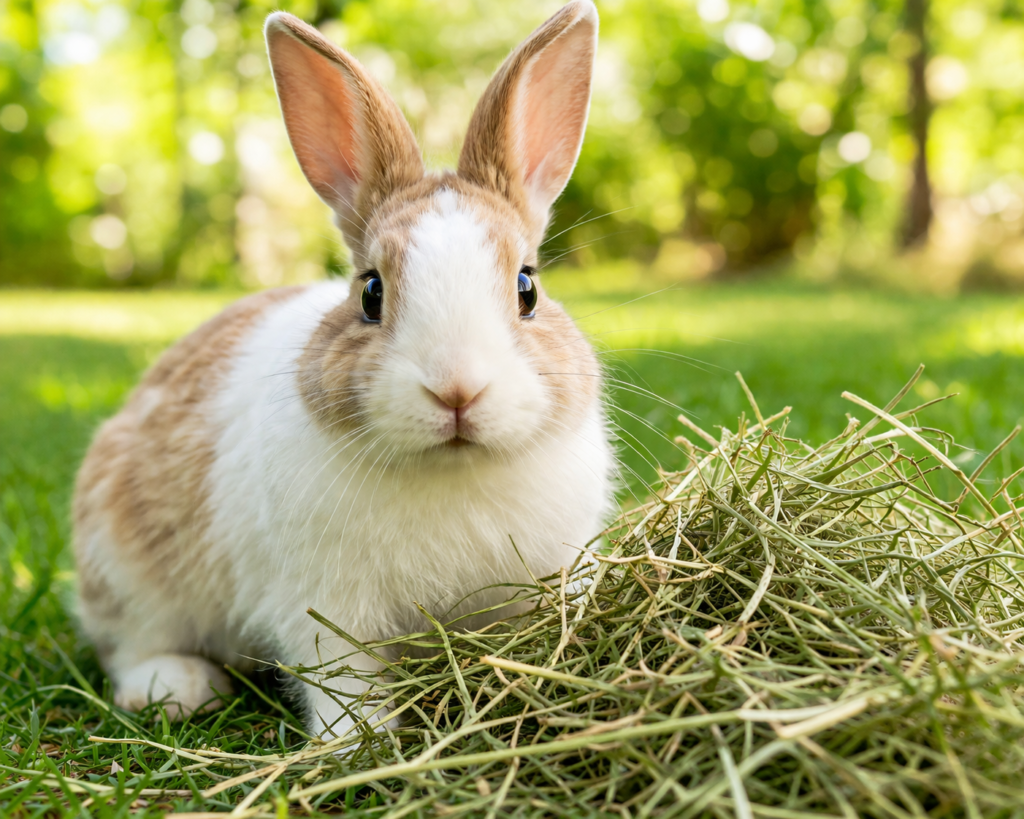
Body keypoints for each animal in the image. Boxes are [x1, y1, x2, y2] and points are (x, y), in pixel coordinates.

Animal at [73, 0, 613, 740]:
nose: (457, 390)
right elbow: (346, 683)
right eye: (371, 293)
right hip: (125, 564)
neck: (452, 468)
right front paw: (362, 746)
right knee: (129, 645)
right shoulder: (326, 608)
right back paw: (180, 688)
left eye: (527, 288)